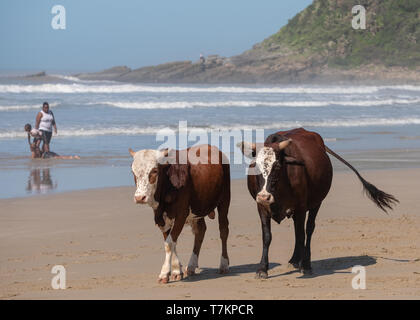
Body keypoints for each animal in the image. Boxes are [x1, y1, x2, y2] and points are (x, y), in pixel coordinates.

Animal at [130, 144, 231, 282]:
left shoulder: (181, 215)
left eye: (154, 171)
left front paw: (164, 273)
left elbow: (169, 243)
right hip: (197, 209)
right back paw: (192, 265)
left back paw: (224, 264)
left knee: (223, 230)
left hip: (224, 200)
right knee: (200, 231)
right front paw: (176, 270)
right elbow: (171, 241)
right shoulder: (161, 218)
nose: (140, 197)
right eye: (133, 172)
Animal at [238, 127, 398, 278]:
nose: (264, 196)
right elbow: (267, 237)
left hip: (316, 203)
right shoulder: (262, 207)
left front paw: (305, 265)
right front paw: (262, 269)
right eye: (255, 165)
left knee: (308, 230)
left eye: (277, 165)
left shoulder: (301, 207)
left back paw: (304, 262)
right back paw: (295, 260)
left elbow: (301, 235)